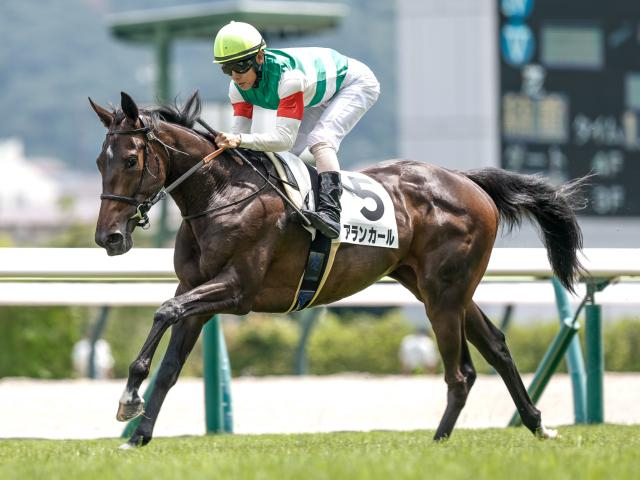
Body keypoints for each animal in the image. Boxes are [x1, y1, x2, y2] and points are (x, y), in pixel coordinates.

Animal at [90, 91, 585, 447]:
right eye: (100, 161)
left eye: (131, 159)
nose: (107, 238)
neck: (220, 195)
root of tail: (468, 180)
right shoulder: (196, 288)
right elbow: (171, 363)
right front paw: (138, 435)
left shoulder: (237, 290)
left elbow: (165, 311)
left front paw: (128, 399)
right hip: (437, 287)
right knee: (496, 347)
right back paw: (537, 425)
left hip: (443, 293)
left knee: (461, 371)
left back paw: (439, 443)